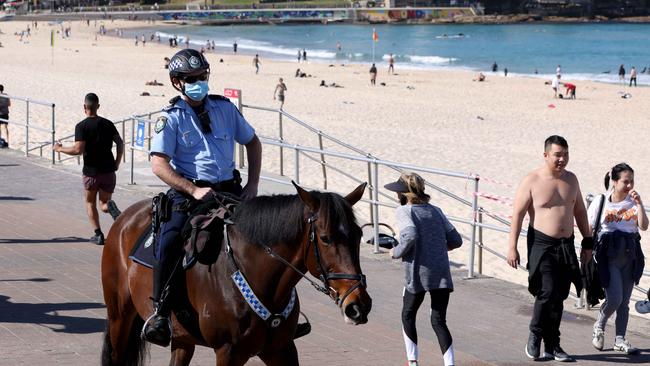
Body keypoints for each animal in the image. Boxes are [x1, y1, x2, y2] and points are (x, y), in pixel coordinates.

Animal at [100, 183, 370, 366]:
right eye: (325, 238)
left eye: (358, 235)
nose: (359, 305)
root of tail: (125, 217)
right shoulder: (228, 352)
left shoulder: (281, 349)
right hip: (119, 317)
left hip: (182, 338)